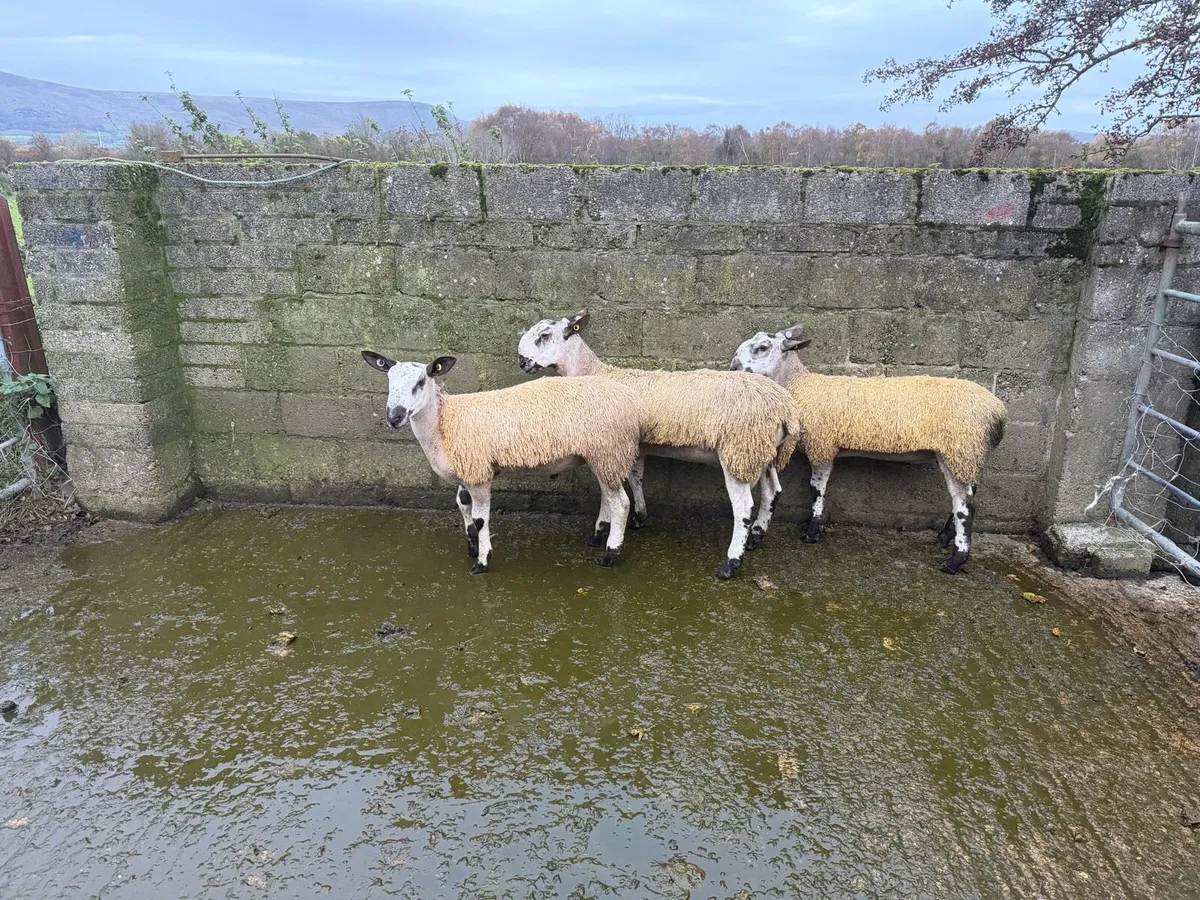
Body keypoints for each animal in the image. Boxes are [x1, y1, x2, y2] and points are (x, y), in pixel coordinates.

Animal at [361, 350, 644, 574]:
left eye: (421, 381)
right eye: (388, 380)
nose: (394, 417)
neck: (445, 422)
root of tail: (629, 399)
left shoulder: (478, 474)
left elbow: (480, 519)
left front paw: (482, 561)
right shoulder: (467, 471)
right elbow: (463, 507)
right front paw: (472, 546)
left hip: (609, 449)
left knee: (621, 504)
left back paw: (610, 554)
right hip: (603, 455)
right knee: (608, 496)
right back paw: (598, 536)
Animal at [517, 312, 799, 580]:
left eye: (544, 335)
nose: (521, 361)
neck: (593, 373)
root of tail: (784, 407)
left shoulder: (611, 445)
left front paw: (604, 533)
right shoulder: (635, 445)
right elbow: (636, 478)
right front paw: (639, 518)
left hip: (739, 449)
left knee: (743, 508)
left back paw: (730, 564)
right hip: (761, 451)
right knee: (772, 491)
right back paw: (756, 537)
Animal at [730, 324, 1008, 574]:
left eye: (762, 347)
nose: (733, 366)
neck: (798, 384)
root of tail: (998, 411)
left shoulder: (823, 444)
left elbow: (816, 489)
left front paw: (812, 531)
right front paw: (810, 526)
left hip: (960, 446)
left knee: (965, 505)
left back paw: (955, 561)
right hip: (965, 454)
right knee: (968, 494)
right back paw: (944, 537)